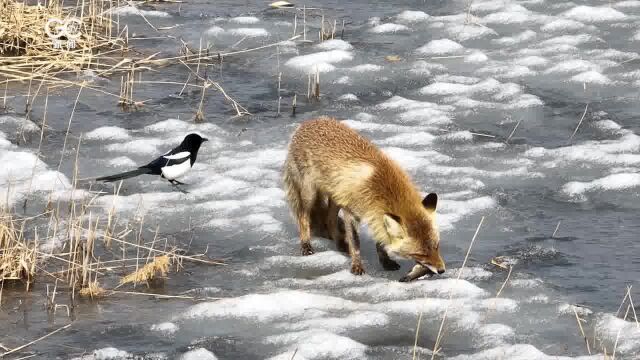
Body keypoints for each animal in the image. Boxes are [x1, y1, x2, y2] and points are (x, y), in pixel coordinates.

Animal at [282, 116, 448, 280]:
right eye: (421, 254)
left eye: (437, 246)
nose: (442, 270)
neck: (380, 186)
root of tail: (308, 121)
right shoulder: (351, 212)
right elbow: (355, 243)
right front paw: (357, 266)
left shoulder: (375, 214)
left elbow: (380, 242)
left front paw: (385, 262)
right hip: (309, 194)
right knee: (303, 218)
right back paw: (306, 245)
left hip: (336, 197)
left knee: (329, 220)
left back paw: (340, 244)